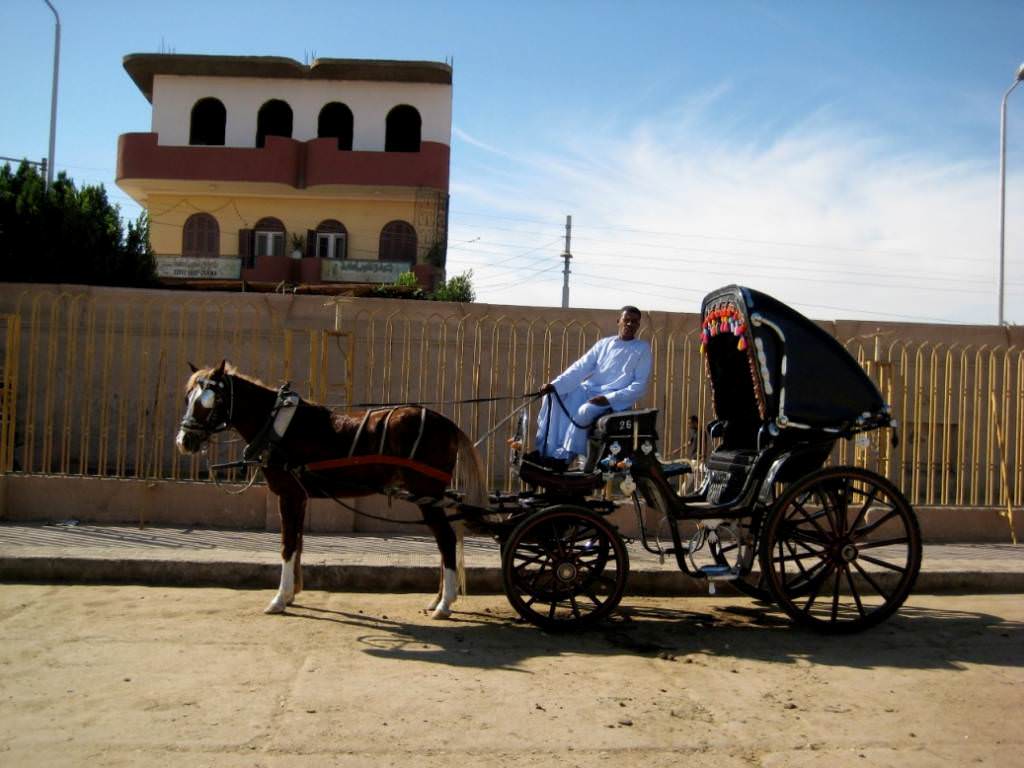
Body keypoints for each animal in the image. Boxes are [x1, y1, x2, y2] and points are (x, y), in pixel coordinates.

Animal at [175, 360, 487, 618]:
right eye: (188, 398)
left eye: (211, 401)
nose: (184, 441)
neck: (277, 427)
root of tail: (448, 423)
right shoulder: (299, 497)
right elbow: (297, 541)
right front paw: (292, 593)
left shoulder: (289, 494)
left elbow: (287, 545)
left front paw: (279, 598)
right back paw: (438, 599)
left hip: (427, 492)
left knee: (446, 540)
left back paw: (445, 604)